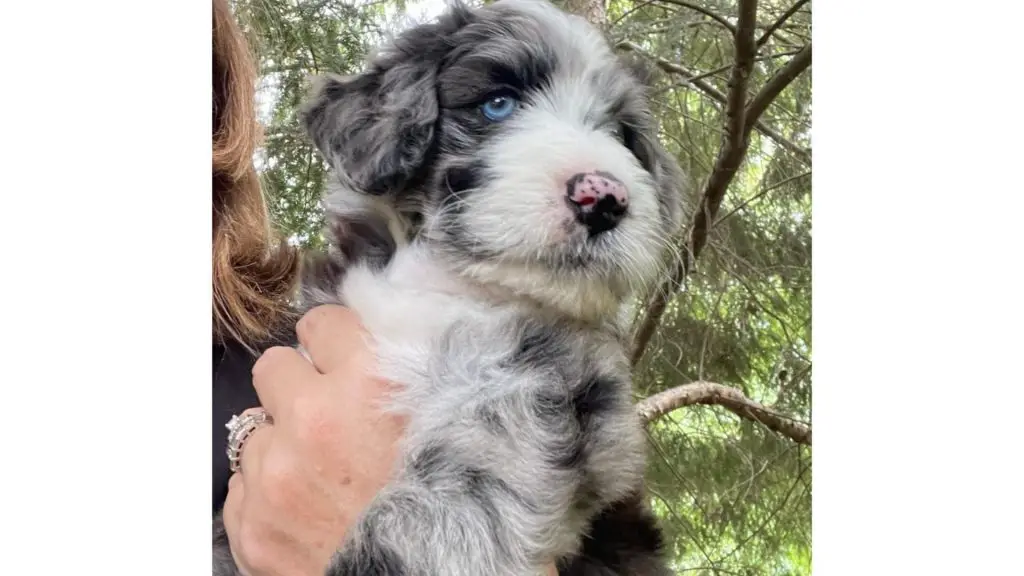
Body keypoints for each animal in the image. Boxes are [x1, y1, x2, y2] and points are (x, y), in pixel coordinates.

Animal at [209, 1, 688, 573]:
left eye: (621, 134)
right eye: (498, 104)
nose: (605, 196)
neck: (446, 287)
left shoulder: (559, 383)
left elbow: (472, 470)